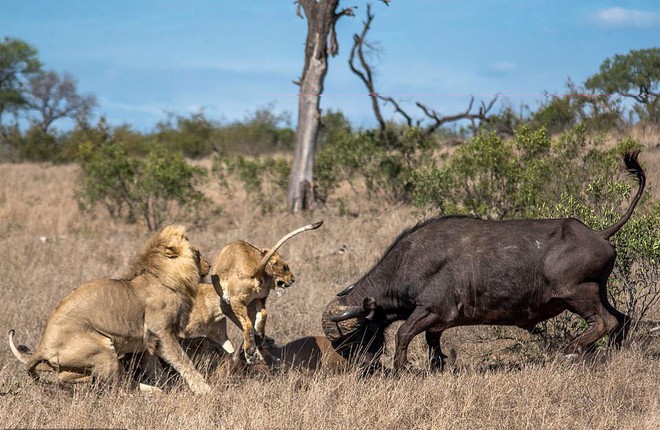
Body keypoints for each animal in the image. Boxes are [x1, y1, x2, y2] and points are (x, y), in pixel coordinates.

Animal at [9, 223, 213, 394]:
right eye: (197, 254)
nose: (209, 266)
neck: (164, 277)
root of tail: (42, 347)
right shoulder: (161, 331)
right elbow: (183, 361)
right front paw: (203, 390)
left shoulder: (148, 342)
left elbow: (155, 368)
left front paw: (170, 386)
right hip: (103, 348)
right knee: (123, 387)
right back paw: (154, 392)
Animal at [211, 222, 322, 362]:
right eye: (285, 267)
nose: (293, 279)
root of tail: (256, 270)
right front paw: (262, 339)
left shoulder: (226, 305)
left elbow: (242, 324)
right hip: (258, 299)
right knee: (263, 314)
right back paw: (260, 337)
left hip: (235, 301)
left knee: (247, 323)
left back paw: (250, 351)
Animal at [322, 149, 648, 372]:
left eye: (355, 337)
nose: (363, 368)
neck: (409, 263)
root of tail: (598, 233)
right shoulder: (437, 323)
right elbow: (431, 344)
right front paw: (437, 367)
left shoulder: (430, 310)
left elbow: (403, 334)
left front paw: (400, 368)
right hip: (598, 292)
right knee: (622, 320)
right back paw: (613, 355)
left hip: (578, 294)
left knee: (604, 321)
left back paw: (570, 351)